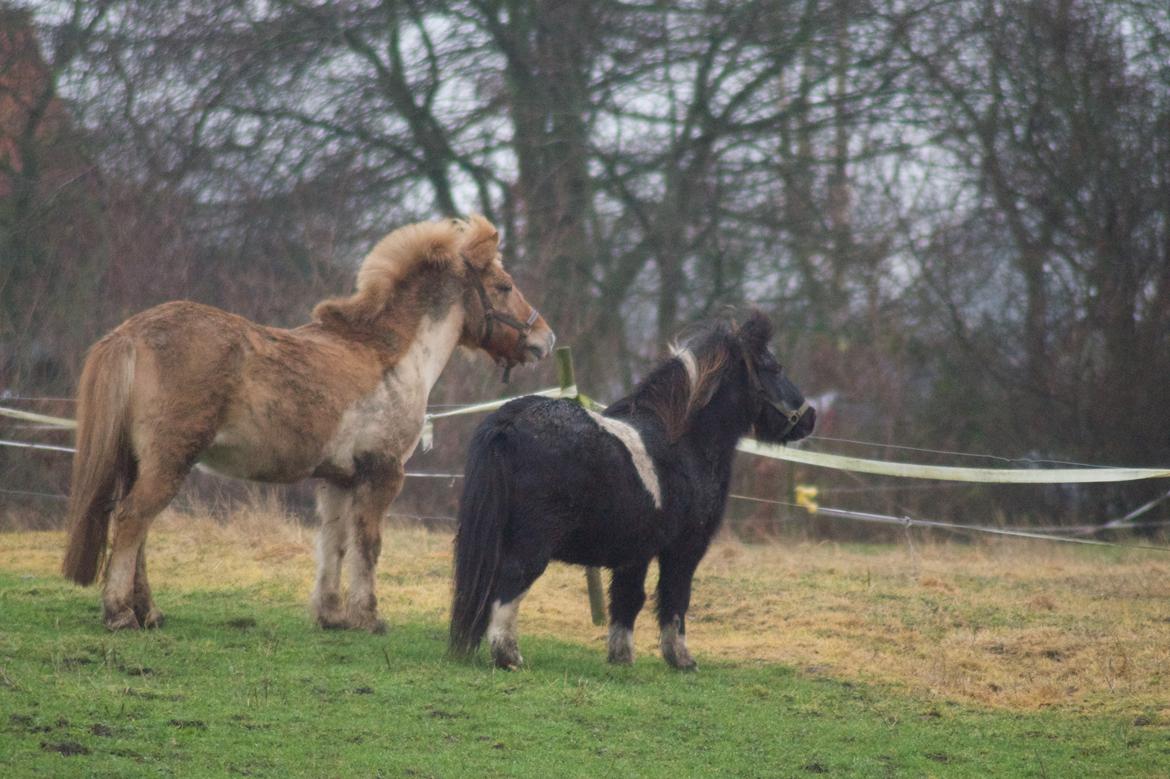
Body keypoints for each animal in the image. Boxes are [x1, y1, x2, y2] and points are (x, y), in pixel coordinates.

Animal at [64, 215, 556, 626]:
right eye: (504, 285)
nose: (544, 339)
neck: (388, 356)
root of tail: (130, 334)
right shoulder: (383, 473)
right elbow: (368, 544)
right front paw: (367, 616)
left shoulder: (337, 479)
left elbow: (333, 543)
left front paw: (331, 614)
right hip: (169, 460)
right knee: (132, 520)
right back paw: (120, 613)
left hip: (139, 462)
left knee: (138, 530)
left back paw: (148, 611)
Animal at [446, 308, 814, 669]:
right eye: (774, 367)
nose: (809, 417)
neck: (685, 442)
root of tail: (510, 421)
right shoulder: (685, 547)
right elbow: (674, 597)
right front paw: (681, 659)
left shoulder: (634, 552)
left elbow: (627, 600)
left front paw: (621, 657)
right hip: (532, 542)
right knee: (511, 583)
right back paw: (509, 657)